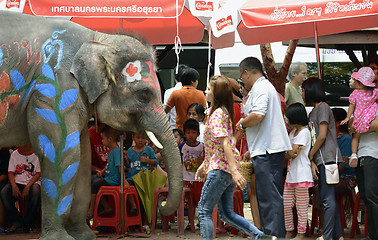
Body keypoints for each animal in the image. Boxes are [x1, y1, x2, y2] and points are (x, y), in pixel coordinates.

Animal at [0, 10, 183, 239]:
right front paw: (60, 238)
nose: (163, 203)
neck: (99, 39)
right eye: (144, 95)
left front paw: (84, 235)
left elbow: (83, 158)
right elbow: (63, 153)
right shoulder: (53, 88)